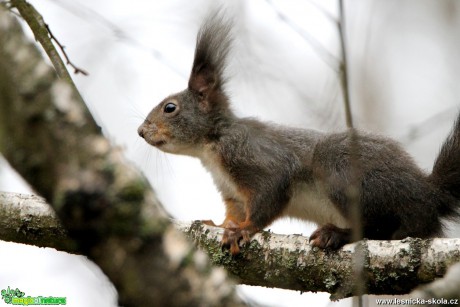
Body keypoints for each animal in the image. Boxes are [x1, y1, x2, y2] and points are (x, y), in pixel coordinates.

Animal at [137, 13, 460, 256]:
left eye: (170, 107)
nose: (140, 131)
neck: (212, 145)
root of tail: (428, 194)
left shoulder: (252, 155)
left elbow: (270, 193)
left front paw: (243, 230)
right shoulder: (232, 193)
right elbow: (234, 212)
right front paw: (220, 225)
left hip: (344, 168)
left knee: (381, 229)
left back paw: (336, 234)